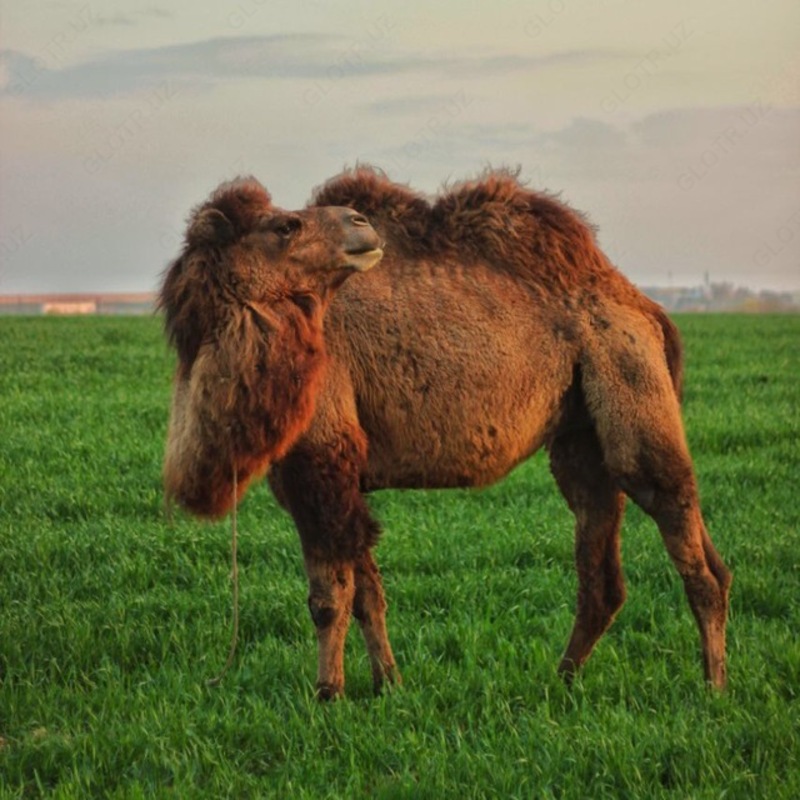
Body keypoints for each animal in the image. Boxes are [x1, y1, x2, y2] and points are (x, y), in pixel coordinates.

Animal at [159, 167, 731, 701]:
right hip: (580, 436)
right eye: (285, 225)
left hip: (628, 374)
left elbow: (327, 597)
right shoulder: (330, 476)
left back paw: (713, 686)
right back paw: (562, 679)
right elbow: (367, 591)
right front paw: (388, 684)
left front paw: (328, 694)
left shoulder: (321, 460)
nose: (358, 223)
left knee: (682, 532)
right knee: (605, 570)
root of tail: (644, 307)